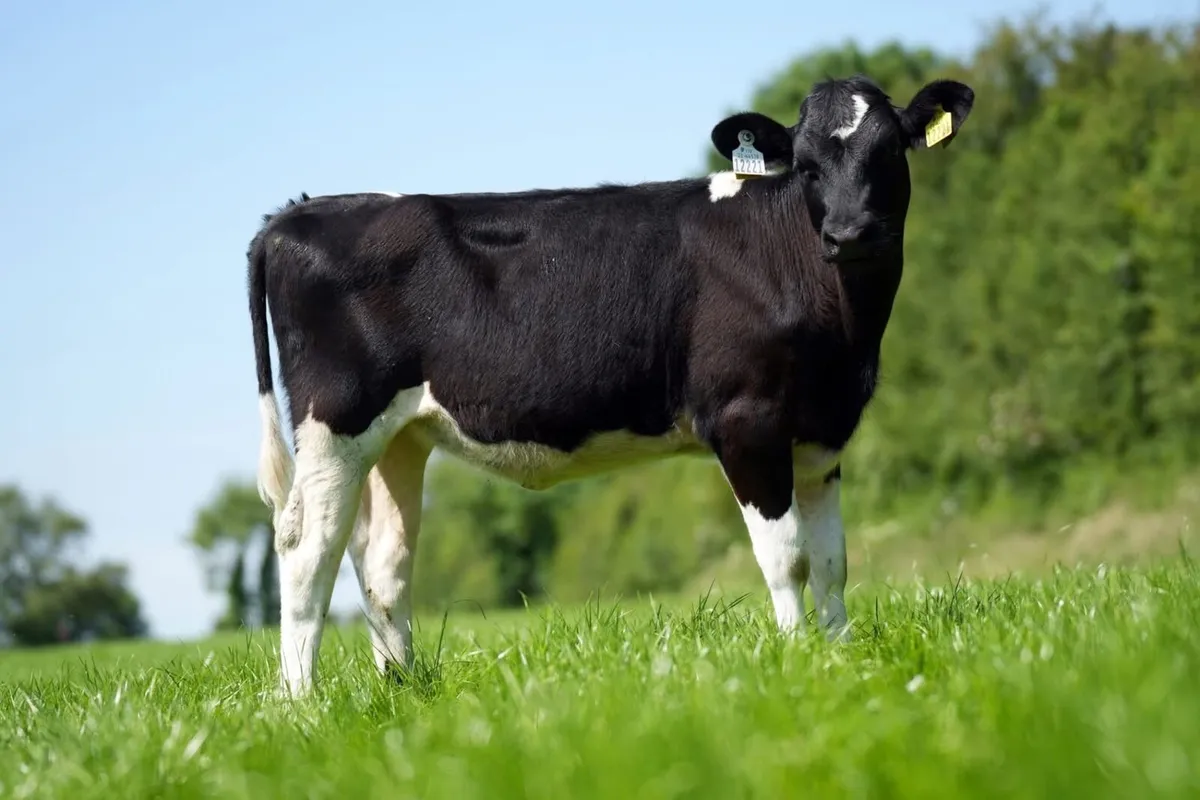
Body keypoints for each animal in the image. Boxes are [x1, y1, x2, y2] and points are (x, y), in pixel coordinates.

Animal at [247, 74, 975, 696]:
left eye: (888, 151)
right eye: (805, 164)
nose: (849, 233)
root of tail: (295, 215)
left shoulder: (821, 433)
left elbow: (831, 561)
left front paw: (842, 659)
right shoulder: (747, 423)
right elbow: (786, 557)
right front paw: (797, 660)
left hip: (399, 436)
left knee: (382, 565)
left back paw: (404, 692)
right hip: (336, 422)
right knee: (307, 549)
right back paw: (302, 704)